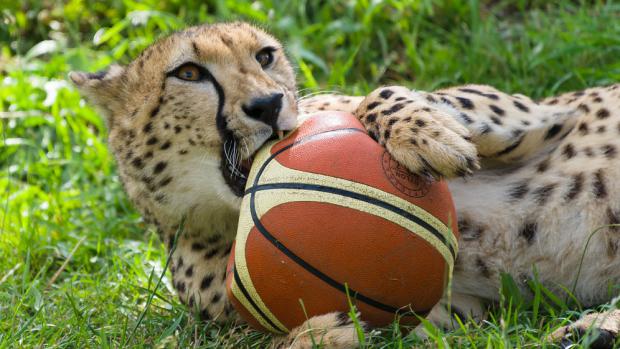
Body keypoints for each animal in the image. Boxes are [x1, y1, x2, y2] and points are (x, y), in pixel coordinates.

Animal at [69, 23, 620, 346]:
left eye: (265, 57)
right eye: (188, 73)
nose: (268, 105)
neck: (224, 214)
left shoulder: (528, 108)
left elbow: (388, 93)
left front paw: (429, 133)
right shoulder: (447, 314)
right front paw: (319, 335)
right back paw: (590, 332)